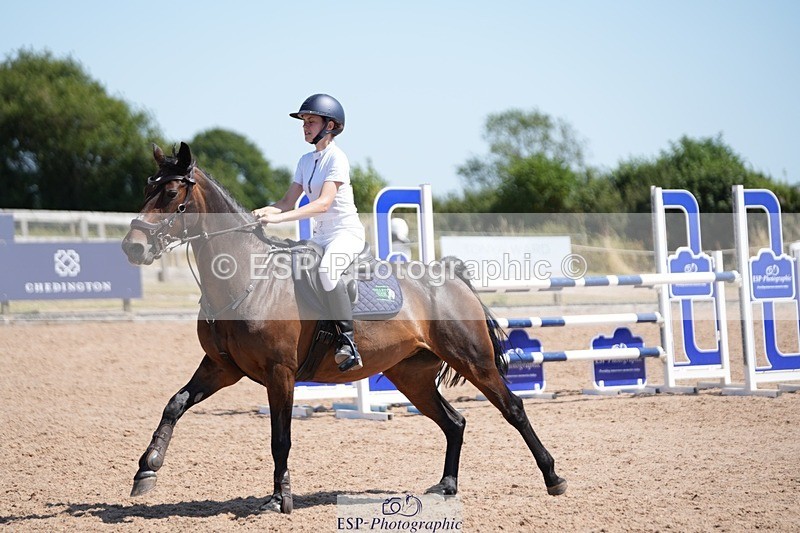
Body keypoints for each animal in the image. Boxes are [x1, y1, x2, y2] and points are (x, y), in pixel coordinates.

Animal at [121, 142, 566, 514]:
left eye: (172, 193)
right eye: (146, 188)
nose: (132, 247)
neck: (248, 278)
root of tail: (451, 277)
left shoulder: (280, 373)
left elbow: (280, 437)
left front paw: (279, 499)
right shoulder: (222, 366)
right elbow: (175, 403)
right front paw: (147, 469)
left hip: (474, 361)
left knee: (513, 408)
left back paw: (553, 477)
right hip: (411, 375)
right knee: (454, 422)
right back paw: (446, 485)